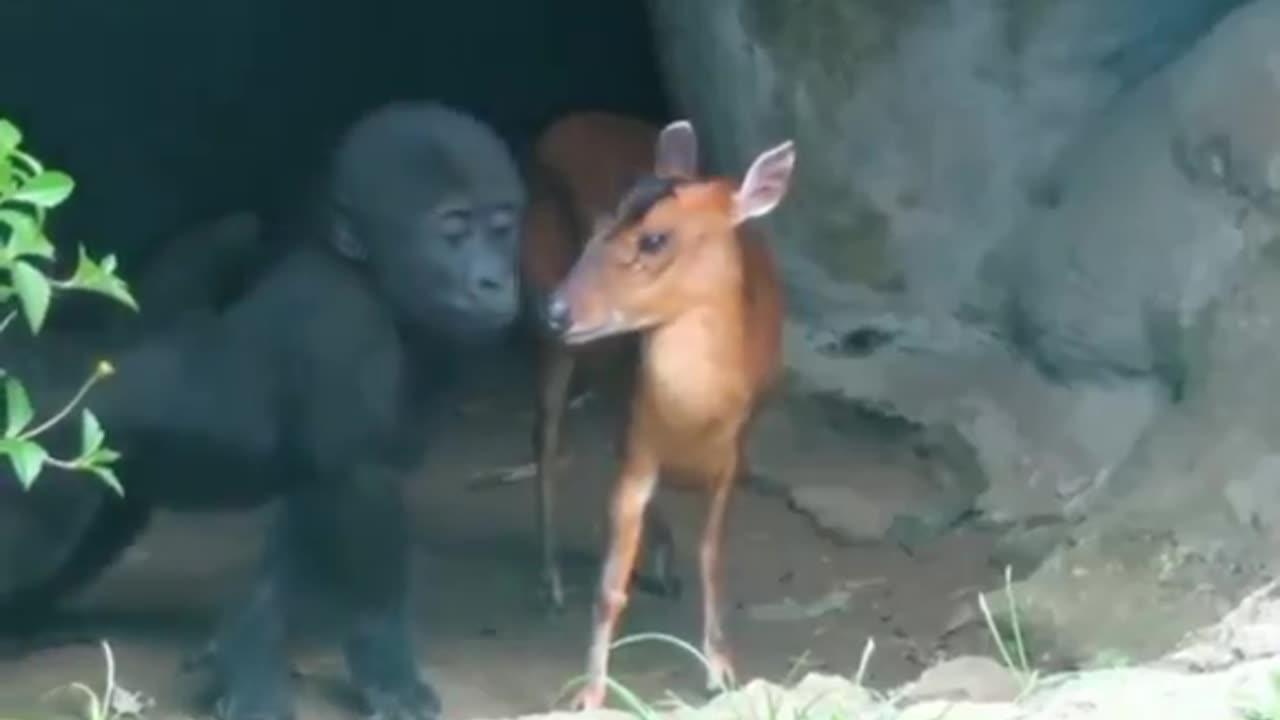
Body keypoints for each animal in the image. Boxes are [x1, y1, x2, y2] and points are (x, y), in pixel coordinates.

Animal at [0, 102, 524, 717]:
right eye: (453, 230)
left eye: (503, 228)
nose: (495, 280)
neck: (363, 271)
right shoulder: (340, 321)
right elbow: (361, 484)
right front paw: (387, 668)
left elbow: (317, 513)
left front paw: (243, 655)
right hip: (33, 441)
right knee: (34, 536)